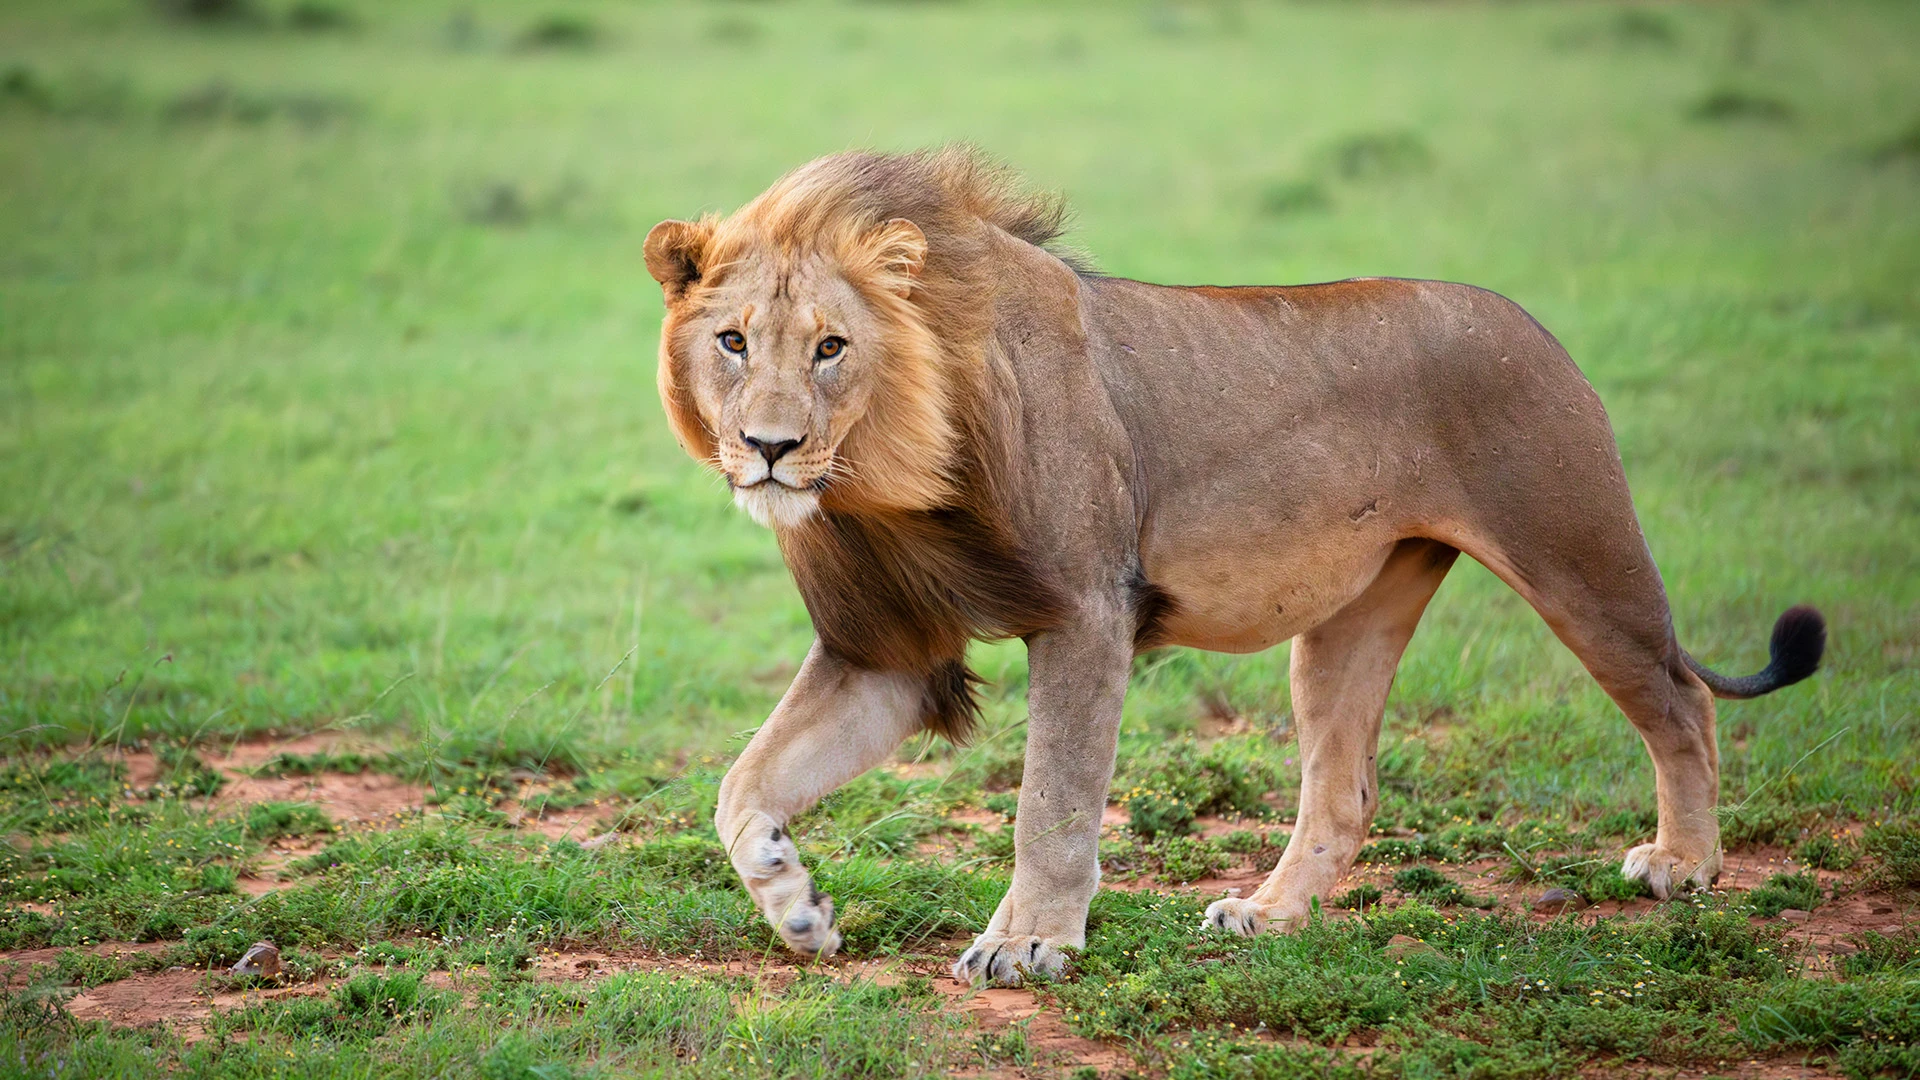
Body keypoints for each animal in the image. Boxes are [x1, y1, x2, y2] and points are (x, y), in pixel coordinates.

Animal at [643, 147, 1825, 987]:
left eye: (831, 347)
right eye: (734, 341)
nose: (771, 448)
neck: (883, 480)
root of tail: (1533, 322)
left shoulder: (1087, 612)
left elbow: (1052, 802)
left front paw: (1028, 946)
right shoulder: (885, 650)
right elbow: (743, 783)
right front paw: (794, 902)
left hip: (1577, 551)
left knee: (1677, 698)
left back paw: (1685, 865)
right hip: (1350, 619)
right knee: (1343, 791)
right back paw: (1266, 915)